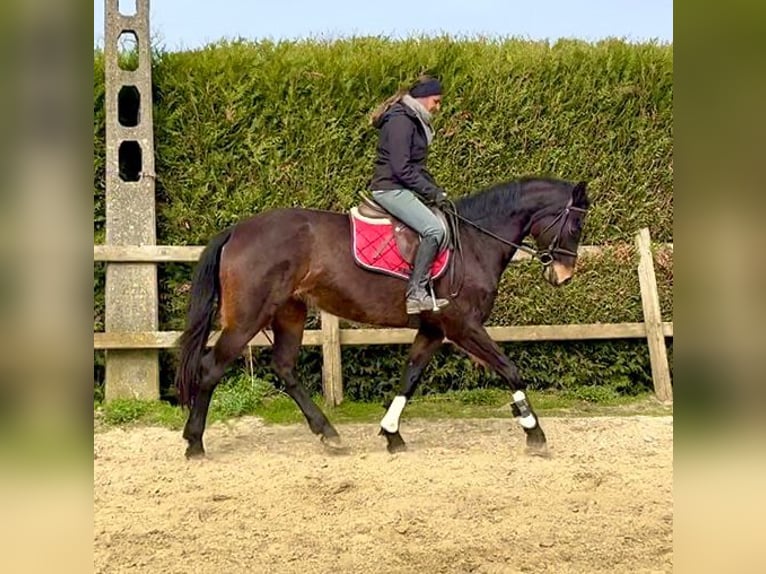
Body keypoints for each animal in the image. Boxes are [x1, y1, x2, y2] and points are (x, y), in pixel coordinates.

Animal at [175, 176, 590, 458]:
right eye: (575, 223)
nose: (563, 275)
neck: (473, 244)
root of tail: (237, 230)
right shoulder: (464, 326)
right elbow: (511, 370)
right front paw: (534, 432)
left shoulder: (433, 330)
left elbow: (410, 377)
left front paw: (392, 434)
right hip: (247, 318)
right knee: (211, 368)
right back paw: (194, 442)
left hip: (289, 312)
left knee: (285, 368)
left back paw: (328, 434)